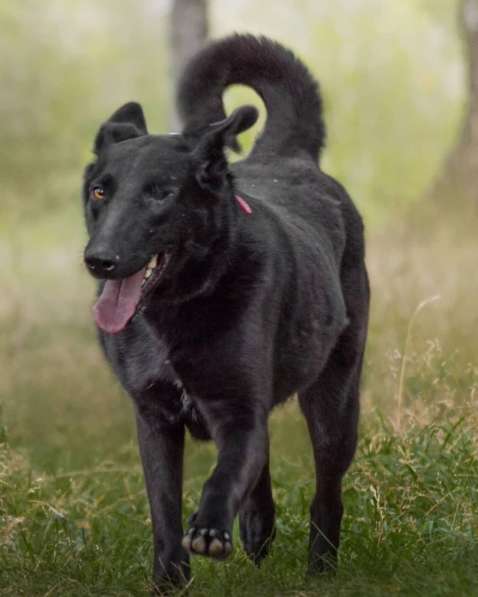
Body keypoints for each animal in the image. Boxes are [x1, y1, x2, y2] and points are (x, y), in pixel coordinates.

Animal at [83, 35, 370, 588]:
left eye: (160, 193)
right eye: (99, 191)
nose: (99, 260)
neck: (175, 311)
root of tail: (288, 155)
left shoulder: (237, 409)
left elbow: (226, 472)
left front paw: (211, 528)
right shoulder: (154, 419)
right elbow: (165, 508)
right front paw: (170, 579)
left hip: (334, 401)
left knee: (327, 492)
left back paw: (320, 569)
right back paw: (258, 529)